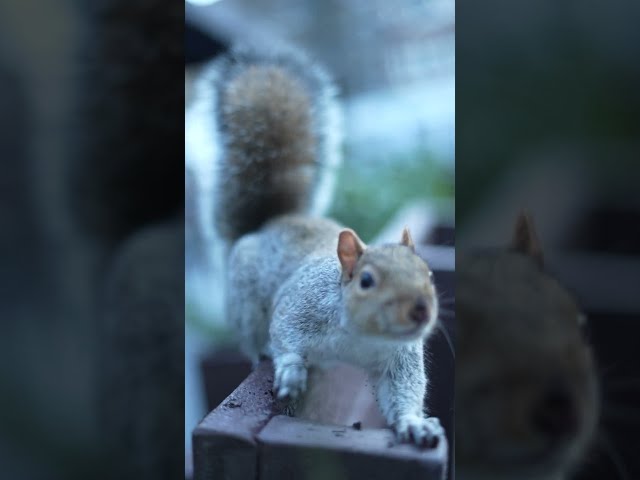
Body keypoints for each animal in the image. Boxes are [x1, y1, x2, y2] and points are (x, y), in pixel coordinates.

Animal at [209, 45, 444, 446]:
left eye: (428, 275)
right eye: (366, 281)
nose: (420, 311)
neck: (363, 338)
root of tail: (273, 223)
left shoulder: (398, 359)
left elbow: (403, 391)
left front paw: (416, 424)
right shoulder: (299, 307)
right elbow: (284, 336)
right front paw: (291, 373)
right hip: (245, 303)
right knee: (253, 335)